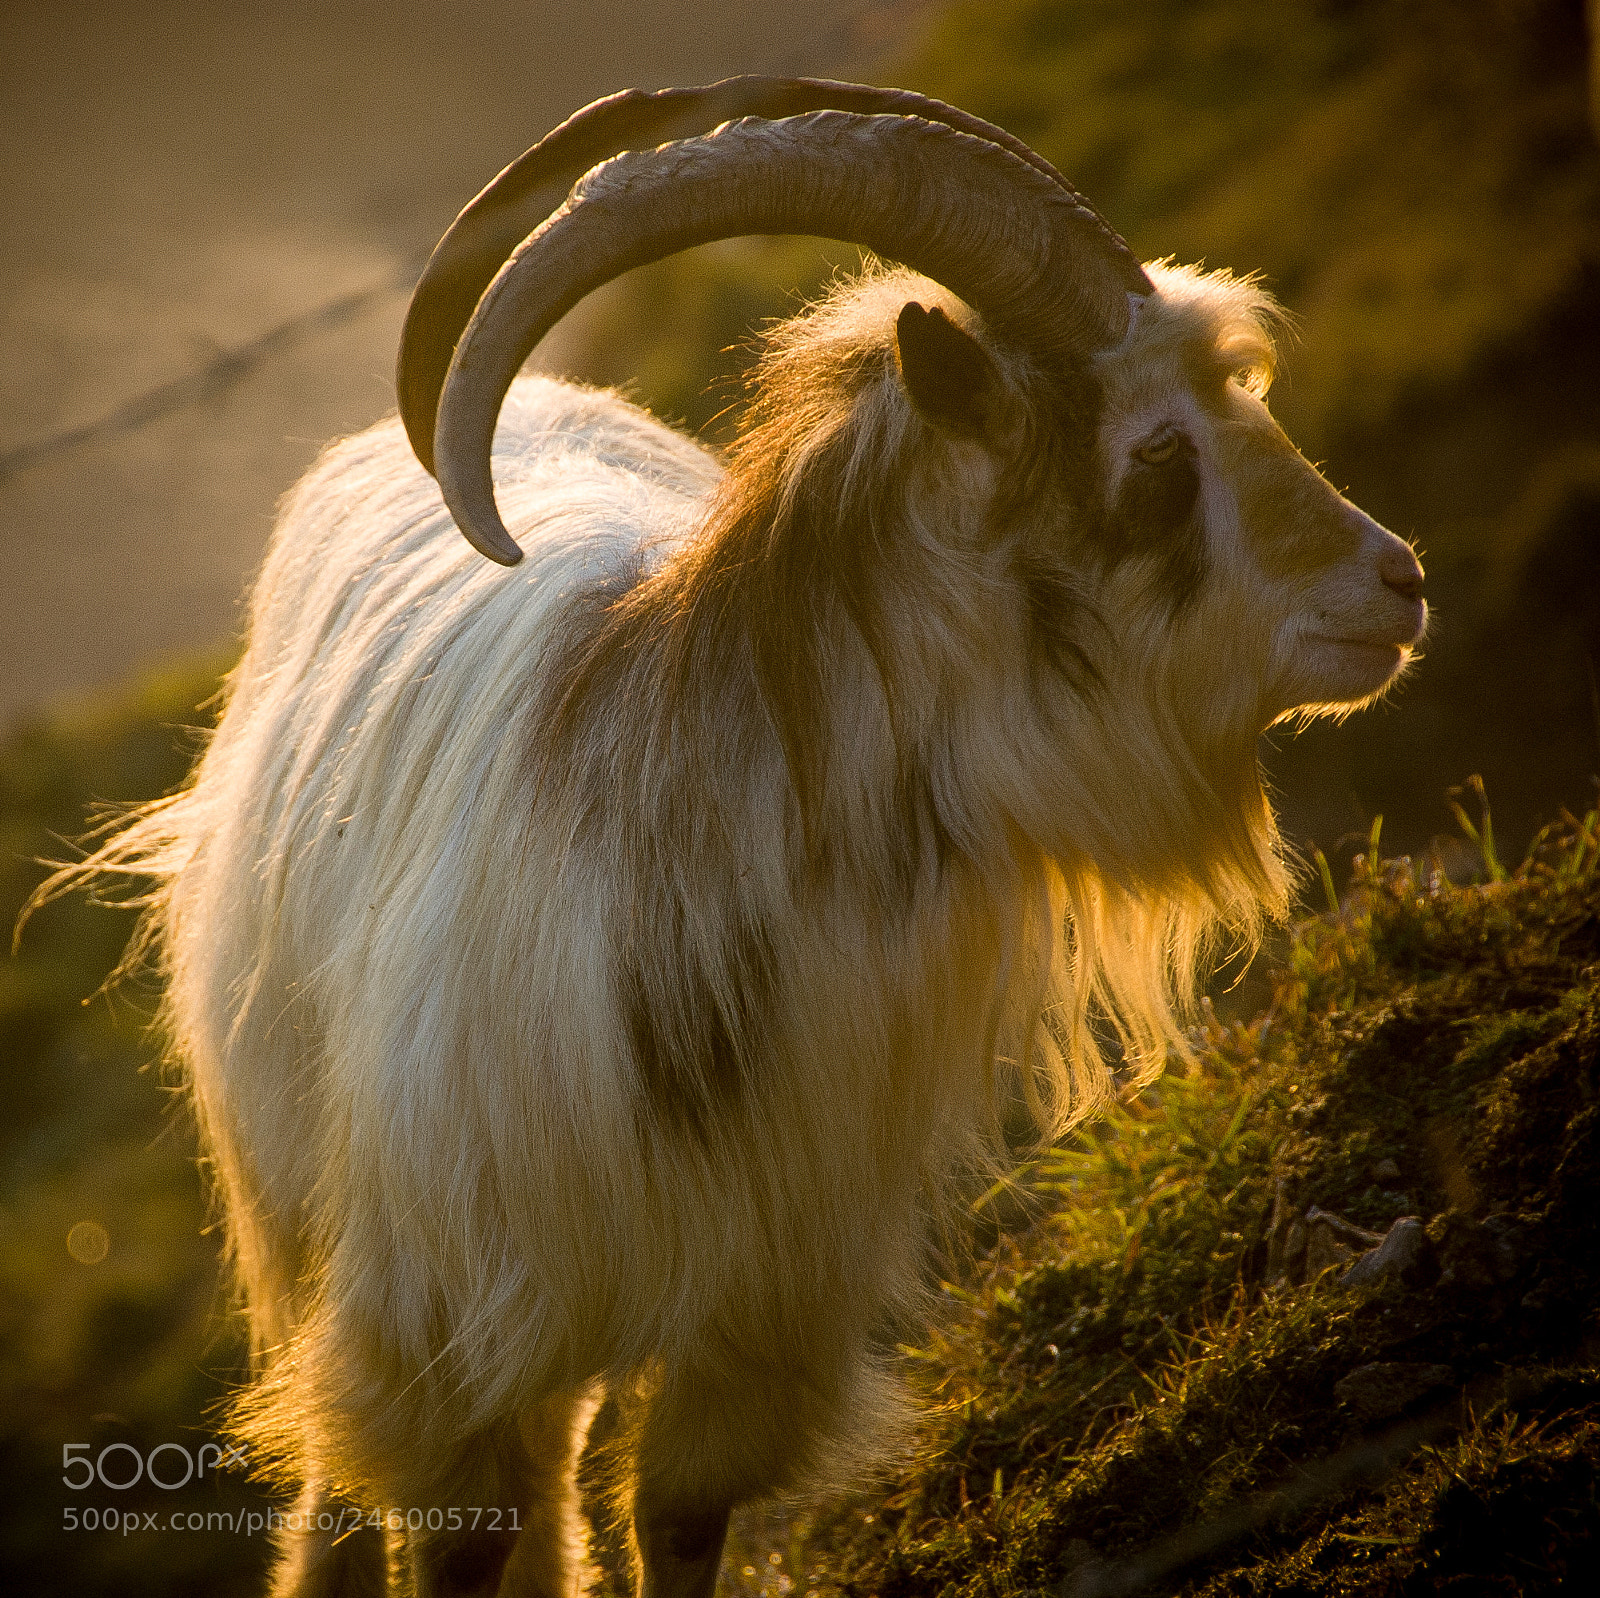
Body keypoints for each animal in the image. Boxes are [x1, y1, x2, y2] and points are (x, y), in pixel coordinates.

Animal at [49, 77, 1425, 1598]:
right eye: (1160, 455)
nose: (1397, 580)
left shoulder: (756, 1311)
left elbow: (679, 1518)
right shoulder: (448, 1324)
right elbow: (456, 1531)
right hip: (313, 1228)